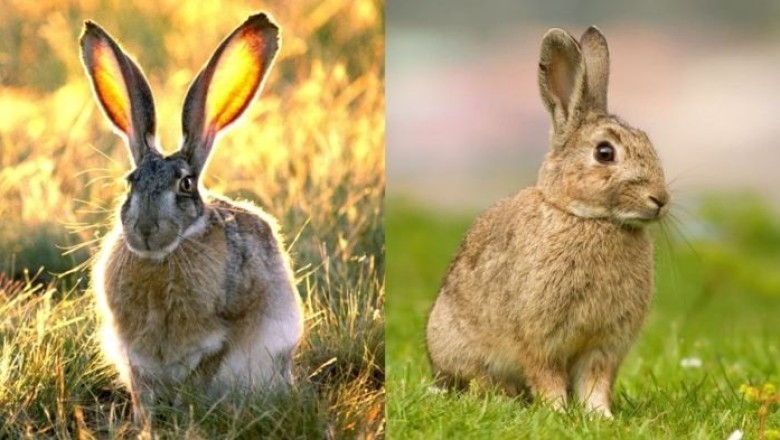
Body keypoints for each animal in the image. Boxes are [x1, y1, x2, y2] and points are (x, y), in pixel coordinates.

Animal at [81, 13, 304, 420]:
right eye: (130, 182)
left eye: (185, 184)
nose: (146, 230)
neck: (162, 258)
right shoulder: (132, 352)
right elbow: (142, 388)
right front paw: (145, 422)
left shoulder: (223, 337)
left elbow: (203, 373)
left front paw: (187, 411)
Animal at [425, 26, 670, 418]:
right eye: (605, 153)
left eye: (647, 141)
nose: (660, 199)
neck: (588, 218)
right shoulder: (539, 337)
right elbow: (546, 375)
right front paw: (558, 412)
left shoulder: (604, 345)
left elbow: (596, 382)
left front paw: (600, 416)